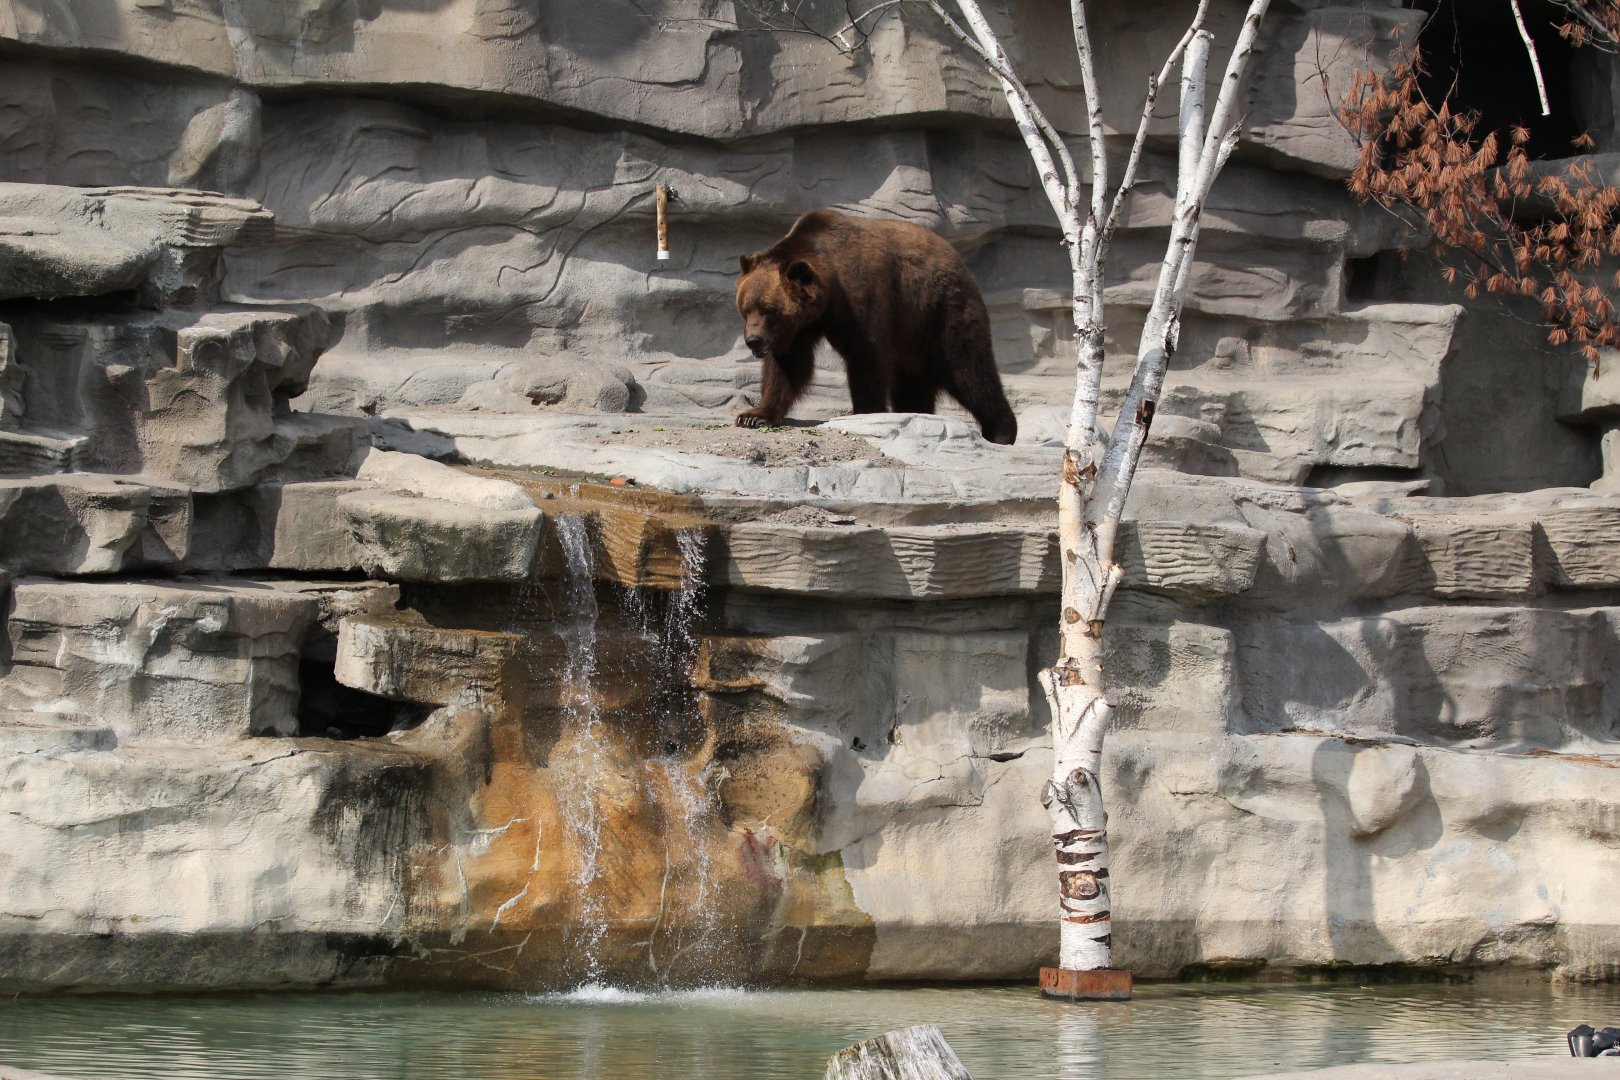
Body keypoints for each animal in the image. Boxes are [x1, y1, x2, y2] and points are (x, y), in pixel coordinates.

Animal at [734, 209, 1018, 445]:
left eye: (770, 310)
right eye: (745, 309)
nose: (753, 340)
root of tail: (958, 259)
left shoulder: (862, 297)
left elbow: (868, 360)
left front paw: (865, 413)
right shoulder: (800, 327)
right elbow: (788, 366)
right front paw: (753, 415)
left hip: (940, 311)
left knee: (967, 367)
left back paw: (1002, 431)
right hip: (912, 333)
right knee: (913, 381)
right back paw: (916, 412)